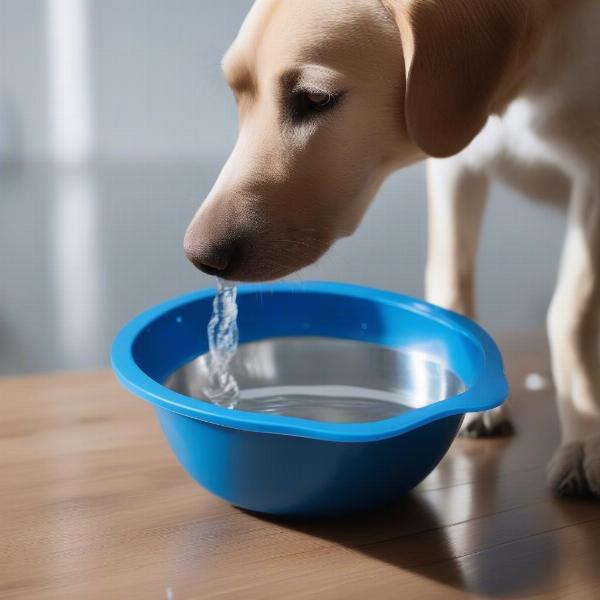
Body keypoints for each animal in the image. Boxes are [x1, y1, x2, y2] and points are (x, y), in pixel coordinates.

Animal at [183, 0, 600, 496]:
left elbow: (571, 314)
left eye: (316, 99)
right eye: (237, 94)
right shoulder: (458, 162)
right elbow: (450, 277)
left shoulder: (594, 178)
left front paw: (585, 436)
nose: (200, 257)